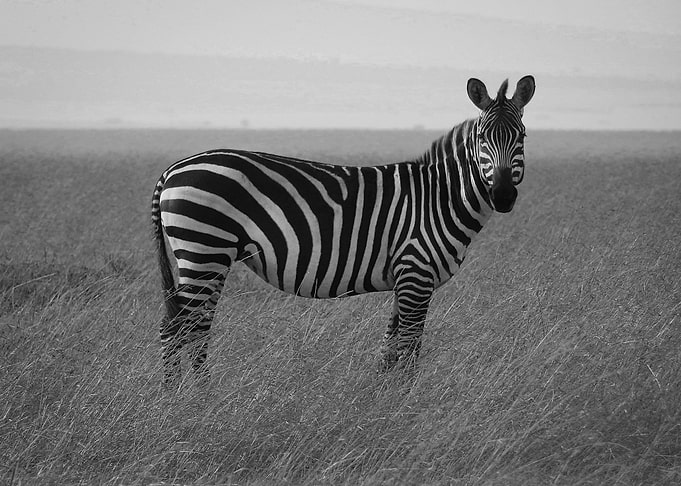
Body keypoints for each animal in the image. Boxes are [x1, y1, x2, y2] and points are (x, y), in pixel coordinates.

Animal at [151, 75, 535, 386]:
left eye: (522, 136)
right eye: (482, 138)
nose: (503, 196)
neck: (439, 198)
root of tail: (173, 169)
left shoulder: (405, 278)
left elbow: (390, 349)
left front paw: (383, 400)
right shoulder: (416, 272)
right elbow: (410, 348)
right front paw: (408, 403)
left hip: (205, 256)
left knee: (186, 326)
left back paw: (187, 395)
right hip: (205, 250)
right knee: (182, 328)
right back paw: (190, 401)